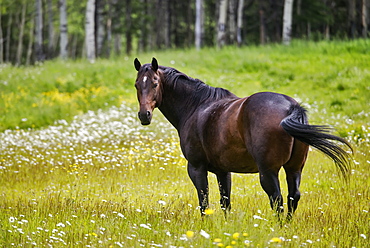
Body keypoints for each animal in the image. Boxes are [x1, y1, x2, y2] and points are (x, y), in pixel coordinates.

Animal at [134, 56, 352, 219]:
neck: (196, 106)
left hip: (268, 172)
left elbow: (204, 202)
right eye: (137, 85)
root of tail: (292, 107)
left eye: (155, 84)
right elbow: (225, 202)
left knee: (277, 199)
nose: (144, 115)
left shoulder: (196, 168)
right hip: (294, 168)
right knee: (293, 197)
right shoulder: (223, 171)